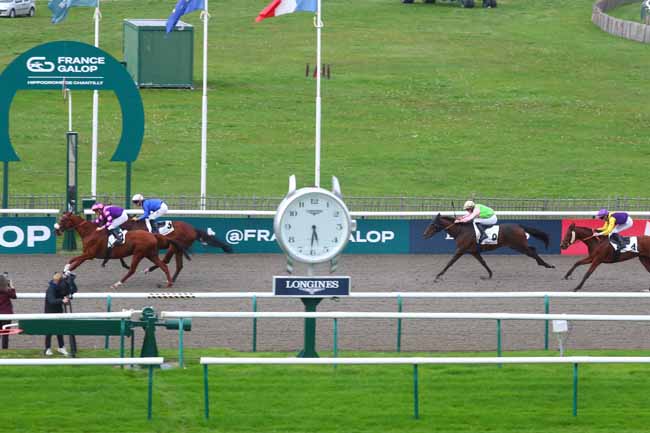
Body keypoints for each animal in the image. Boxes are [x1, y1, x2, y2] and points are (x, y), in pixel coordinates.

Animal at [422, 214, 556, 282]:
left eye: (432, 224)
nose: (424, 234)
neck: (461, 231)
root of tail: (519, 225)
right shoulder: (473, 251)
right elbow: (483, 263)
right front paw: (489, 275)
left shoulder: (461, 250)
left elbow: (450, 262)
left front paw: (438, 275)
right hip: (517, 245)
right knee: (532, 250)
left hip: (518, 245)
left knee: (532, 251)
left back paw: (547, 265)